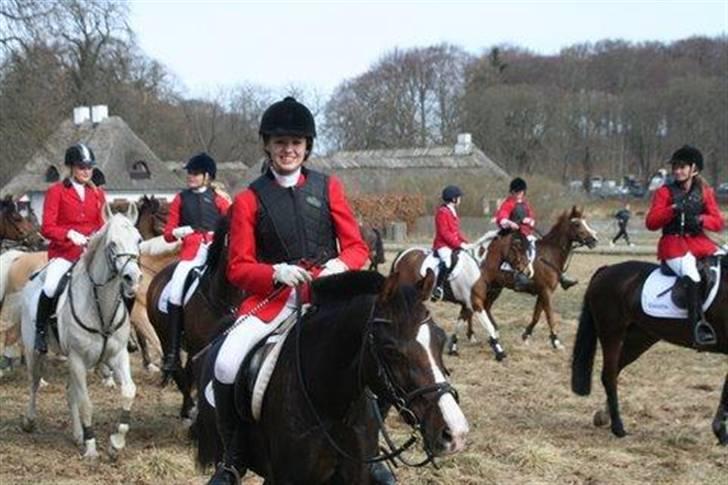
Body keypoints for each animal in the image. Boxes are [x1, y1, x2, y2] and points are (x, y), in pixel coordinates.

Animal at [19, 203, 143, 459]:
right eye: (112, 243)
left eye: (139, 240)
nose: (132, 278)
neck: (101, 305)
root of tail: (35, 277)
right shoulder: (77, 358)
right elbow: (86, 403)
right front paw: (92, 448)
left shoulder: (118, 355)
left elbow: (128, 391)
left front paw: (116, 443)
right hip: (34, 351)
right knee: (34, 382)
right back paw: (29, 420)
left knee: (70, 393)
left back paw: (77, 435)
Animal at [392, 232, 530, 361]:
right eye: (517, 246)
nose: (527, 271)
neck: (479, 267)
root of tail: (403, 254)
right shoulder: (476, 303)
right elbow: (489, 326)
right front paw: (499, 352)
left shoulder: (467, 305)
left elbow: (459, 324)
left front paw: (453, 348)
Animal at [463, 206, 598, 350]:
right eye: (577, 224)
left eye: (585, 222)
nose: (594, 240)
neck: (549, 254)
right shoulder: (546, 292)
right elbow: (549, 315)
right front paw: (556, 341)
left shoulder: (542, 292)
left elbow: (537, 315)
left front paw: (526, 335)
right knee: (474, 307)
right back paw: (472, 335)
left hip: (495, 288)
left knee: (485, 307)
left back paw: (492, 332)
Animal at [571, 257, 728, 445]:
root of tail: (606, 269)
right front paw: (720, 432)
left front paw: (720, 432)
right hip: (612, 332)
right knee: (609, 375)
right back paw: (618, 428)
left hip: (639, 338)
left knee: (615, 371)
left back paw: (604, 417)